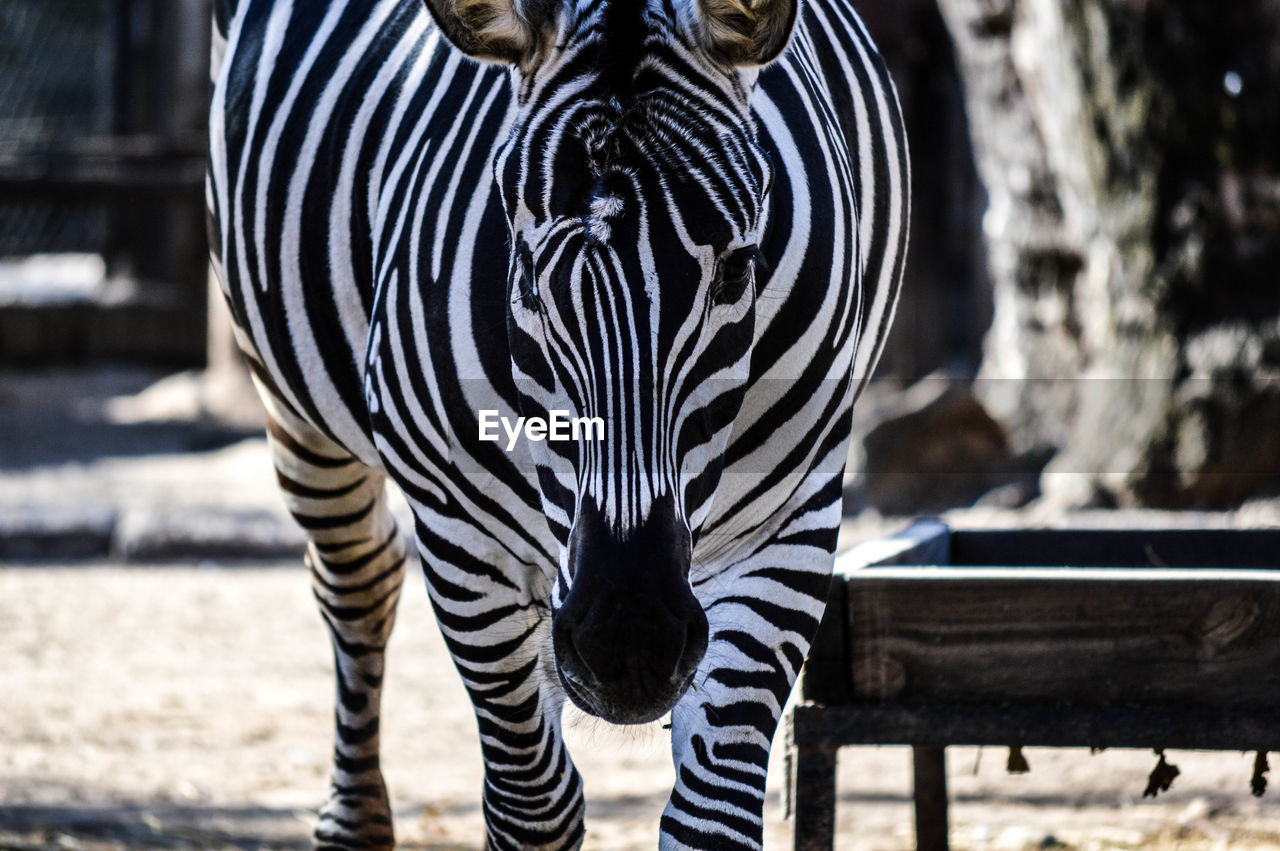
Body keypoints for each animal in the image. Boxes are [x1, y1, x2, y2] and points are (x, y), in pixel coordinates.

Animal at [209, 0, 906, 844]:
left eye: (739, 268)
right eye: (527, 271)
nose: (628, 642)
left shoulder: (791, 514)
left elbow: (710, 815)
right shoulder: (461, 528)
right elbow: (531, 805)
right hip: (291, 400)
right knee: (357, 577)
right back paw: (355, 820)